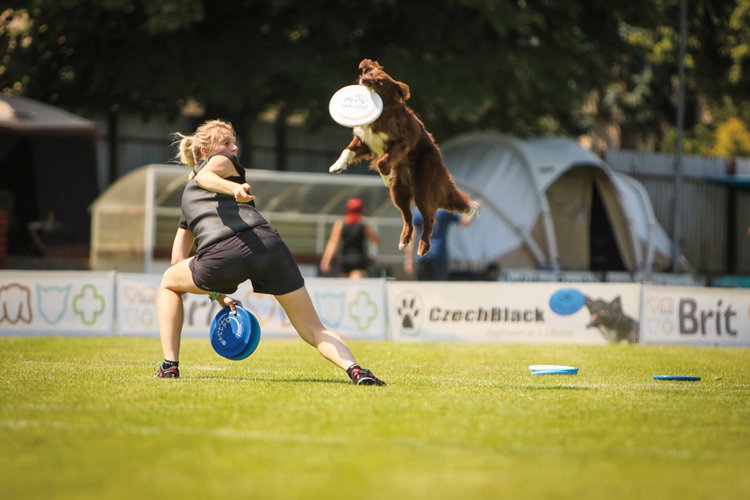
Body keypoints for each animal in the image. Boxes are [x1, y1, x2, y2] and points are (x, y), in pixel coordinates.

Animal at [332, 57, 478, 258]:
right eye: (369, 73)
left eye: (379, 82)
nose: (364, 80)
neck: (382, 114)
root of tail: (442, 168)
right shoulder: (364, 142)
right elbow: (348, 151)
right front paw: (337, 165)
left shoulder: (401, 142)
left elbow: (383, 161)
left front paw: (385, 177)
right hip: (398, 192)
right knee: (408, 217)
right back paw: (404, 240)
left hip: (422, 191)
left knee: (429, 219)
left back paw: (423, 247)